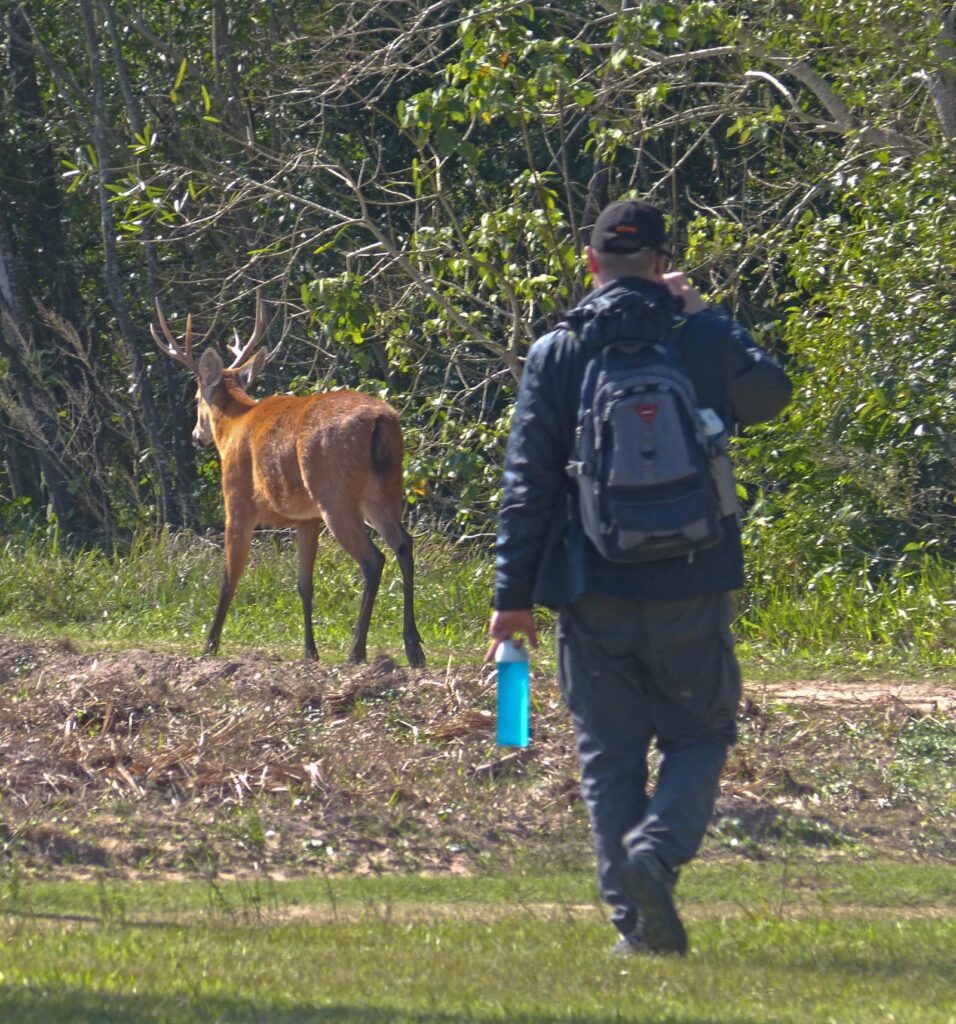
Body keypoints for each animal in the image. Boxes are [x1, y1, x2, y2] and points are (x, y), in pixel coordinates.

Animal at [150, 292, 425, 667]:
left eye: (195, 398)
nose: (196, 436)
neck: (234, 426)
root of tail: (383, 420)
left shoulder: (237, 501)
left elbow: (230, 574)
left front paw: (210, 643)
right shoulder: (305, 518)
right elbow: (304, 583)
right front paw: (310, 650)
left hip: (334, 493)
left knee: (373, 559)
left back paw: (357, 650)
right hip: (385, 488)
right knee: (404, 545)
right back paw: (413, 647)